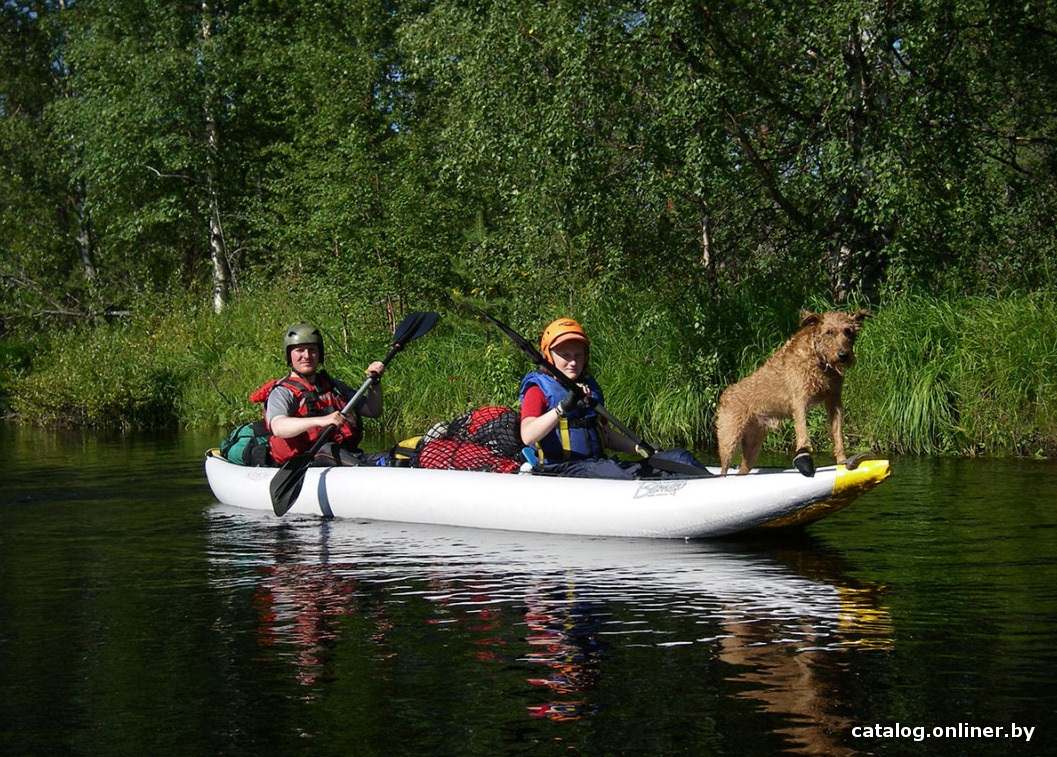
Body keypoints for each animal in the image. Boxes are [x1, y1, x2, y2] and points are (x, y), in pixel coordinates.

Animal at [714, 308, 870, 475]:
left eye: (848, 332)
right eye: (829, 332)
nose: (843, 355)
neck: (819, 360)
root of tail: (725, 394)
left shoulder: (834, 401)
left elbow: (838, 434)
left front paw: (842, 460)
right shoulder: (800, 400)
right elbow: (802, 430)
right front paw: (804, 456)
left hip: (753, 445)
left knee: (742, 470)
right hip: (728, 438)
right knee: (724, 471)